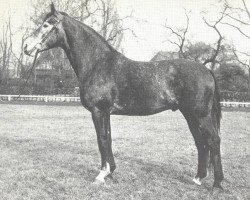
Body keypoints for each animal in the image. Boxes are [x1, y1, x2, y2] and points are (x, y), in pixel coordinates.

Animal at [23, 3, 223, 190]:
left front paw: (101, 175)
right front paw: (111, 172)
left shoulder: (98, 111)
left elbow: (102, 140)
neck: (98, 63)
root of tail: (207, 70)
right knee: (201, 142)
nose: (26, 46)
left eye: (46, 24)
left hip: (200, 114)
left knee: (213, 140)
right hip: (189, 114)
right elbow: (108, 139)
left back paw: (217, 184)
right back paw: (198, 178)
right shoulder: (106, 113)